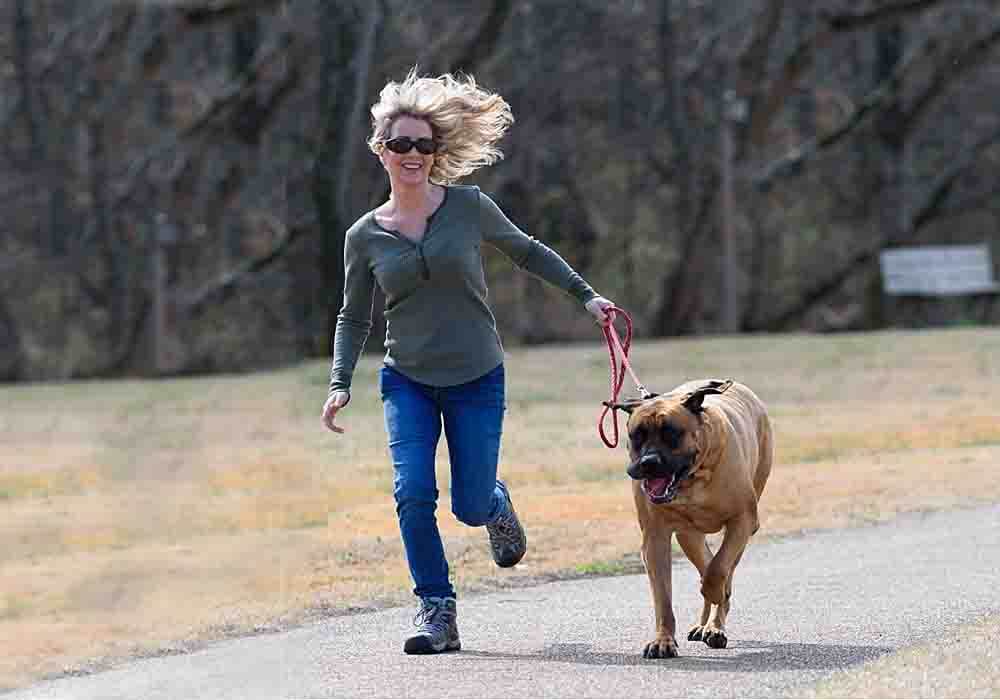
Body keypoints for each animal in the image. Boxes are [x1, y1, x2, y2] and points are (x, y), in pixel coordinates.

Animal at [608, 378, 772, 656]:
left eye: (672, 433)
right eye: (636, 435)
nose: (649, 462)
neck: (691, 480)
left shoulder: (742, 521)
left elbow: (718, 568)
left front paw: (716, 594)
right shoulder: (655, 538)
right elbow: (663, 597)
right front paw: (663, 640)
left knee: (723, 568)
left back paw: (715, 626)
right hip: (689, 538)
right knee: (704, 561)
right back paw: (704, 622)